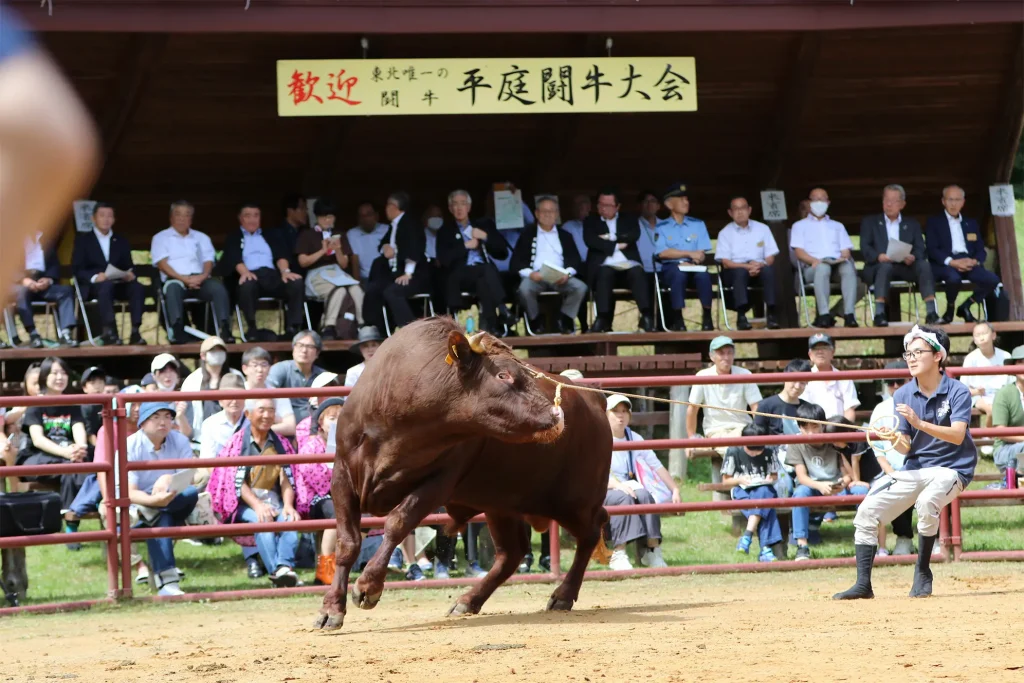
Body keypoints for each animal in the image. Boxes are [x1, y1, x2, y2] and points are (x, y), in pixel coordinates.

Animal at [315, 317, 610, 630]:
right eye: (503, 375)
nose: (557, 416)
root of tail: (594, 399)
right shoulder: (343, 474)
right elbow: (348, 542)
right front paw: (331, 608)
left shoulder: (439, 482)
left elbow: (397, 524)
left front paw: (368, 586)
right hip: (501, 503)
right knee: (512, 552)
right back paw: (469, 600)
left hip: (575, 502)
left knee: (591, 532)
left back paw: (563, 594)